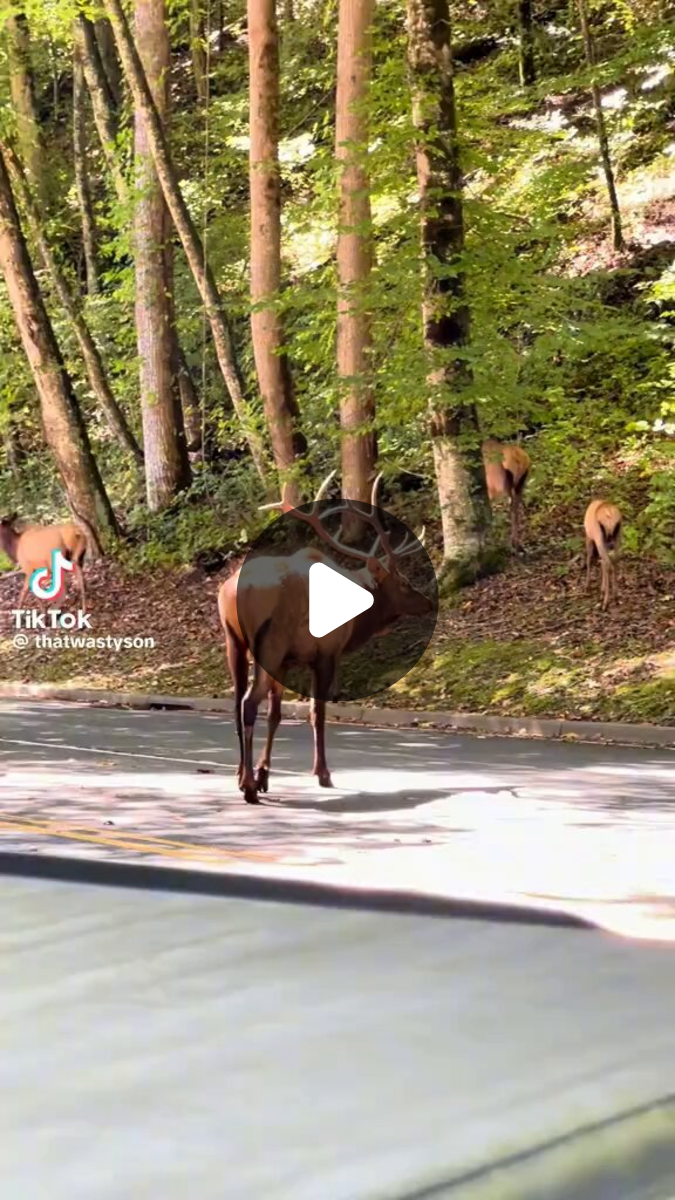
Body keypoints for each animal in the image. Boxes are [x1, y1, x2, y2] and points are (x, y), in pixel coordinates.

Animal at [218, 472, 433, 805]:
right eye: (404, 583)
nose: (429, 602)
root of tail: (232, 591)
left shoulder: (288, 661)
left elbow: (276, 714)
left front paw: (264, 774)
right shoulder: (325, 652)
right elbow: (317, 712)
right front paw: (322, 773)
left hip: (236, 643)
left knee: (236, 702)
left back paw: (242, 776)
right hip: (270, 644)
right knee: (249, 703)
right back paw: (249, 788)